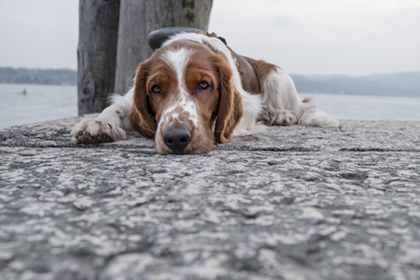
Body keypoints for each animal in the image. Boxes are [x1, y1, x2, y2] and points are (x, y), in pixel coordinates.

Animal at [71, 31, 338, 154]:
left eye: (203, 85)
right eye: (155, 89)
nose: (176, 138)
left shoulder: (249, 106)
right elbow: (116, 107)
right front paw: (96, 124)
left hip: (276, 76)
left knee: (302, 108)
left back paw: (281, 115)